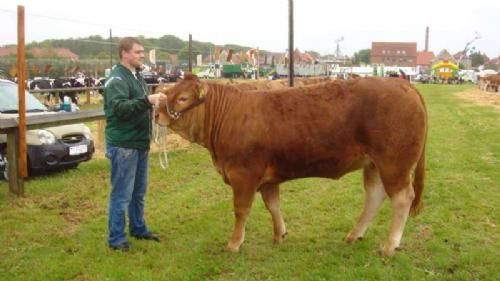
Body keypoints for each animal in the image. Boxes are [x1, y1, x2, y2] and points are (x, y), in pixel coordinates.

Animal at [155, 73, 426, 255]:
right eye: (169, 91)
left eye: (182, 98)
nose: (157, 113)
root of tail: (402, 83)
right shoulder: (268, 178)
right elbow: (273, 205)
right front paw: (279, 235)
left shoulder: (243, 175)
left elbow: (241, 210)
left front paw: (234, 243)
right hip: (374, 165)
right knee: (375, 196)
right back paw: (354, 235)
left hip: (394, 164)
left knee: (402, 198)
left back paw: (389, 246)